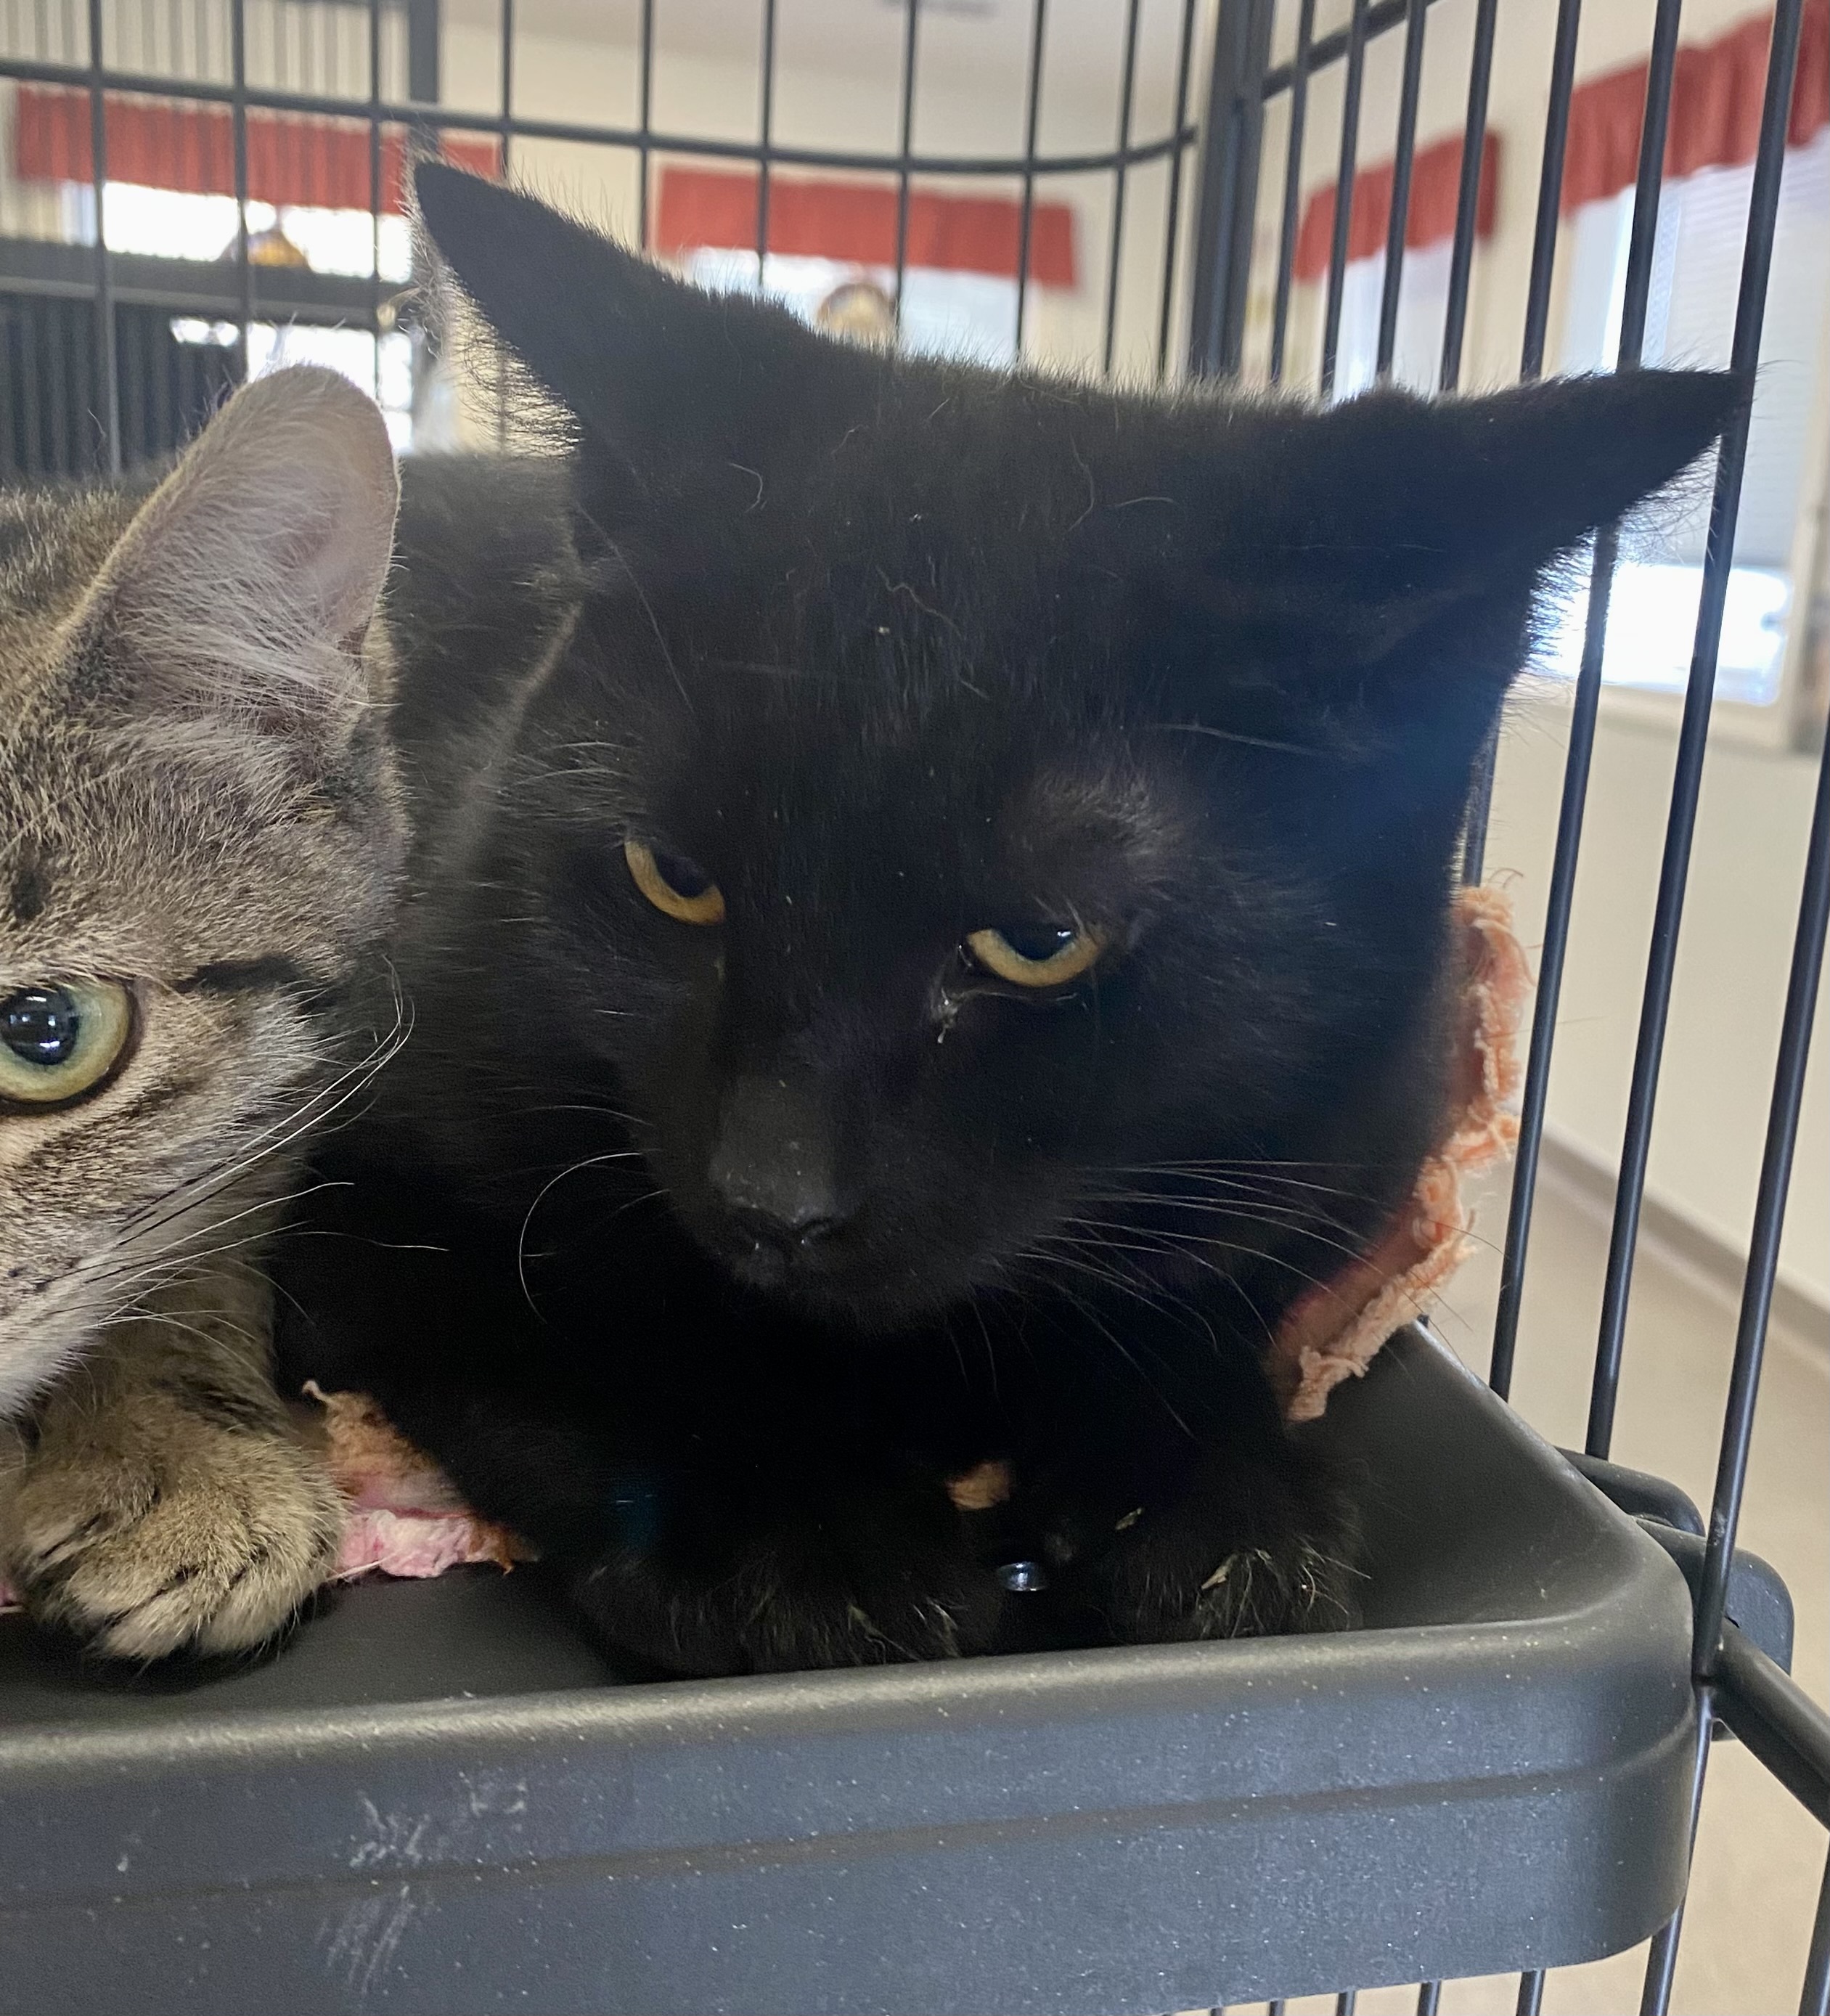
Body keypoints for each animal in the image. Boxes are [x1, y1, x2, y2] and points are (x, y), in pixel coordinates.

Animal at [278, 169, 1733, 1685]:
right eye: (674, 877)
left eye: (1042, 944)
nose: (768, 1200)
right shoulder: (349, 1169)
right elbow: (574, 1315)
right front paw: (801, 1530)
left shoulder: (1330, 1186)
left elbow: (1190, 1301)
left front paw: (1208, 1494)